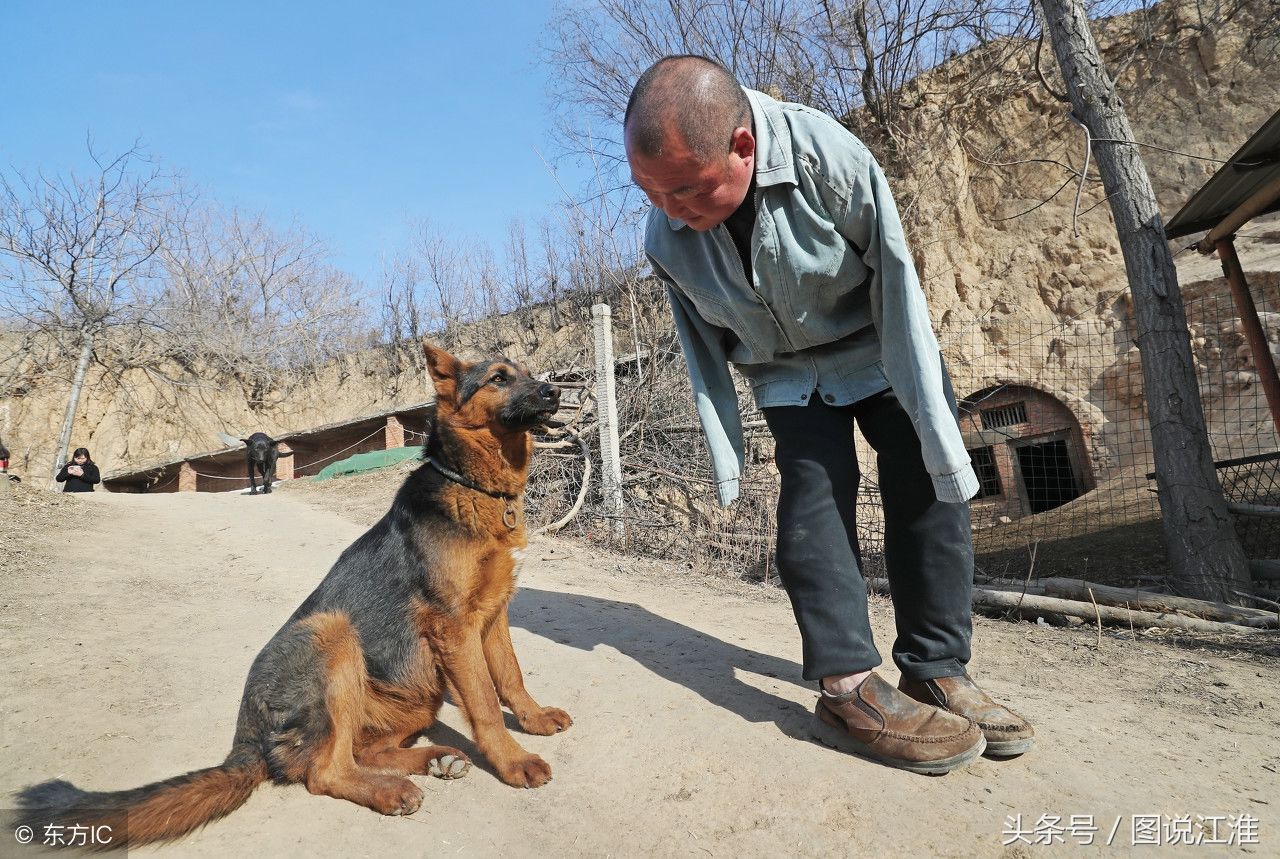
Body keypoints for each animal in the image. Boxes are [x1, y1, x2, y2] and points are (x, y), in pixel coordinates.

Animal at [18, 340, 570, 844]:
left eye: (526, 374)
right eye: (498, 378)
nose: (555, 391)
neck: (476, 488)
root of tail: (247, 736)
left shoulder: (493, 616)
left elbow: (511, 678)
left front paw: (534, 719)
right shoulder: (455, 627)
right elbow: (484, 702)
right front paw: (514, 761)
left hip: (417, 694)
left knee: (360, 750)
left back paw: (432, 758)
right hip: (332, 633)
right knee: (325, 771)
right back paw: (390, 789)